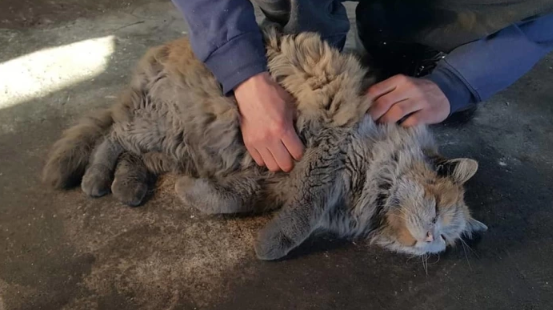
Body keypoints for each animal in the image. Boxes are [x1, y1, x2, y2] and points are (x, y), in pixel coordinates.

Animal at [42, 25, 488, 260]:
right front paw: (272, 246)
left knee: (135, 157)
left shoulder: (266, 183)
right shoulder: (327, 148)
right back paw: (95, 178)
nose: (430, 239)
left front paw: (191, 193)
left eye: (446, 238)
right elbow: (302, 214)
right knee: (112, 137)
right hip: (160, 123)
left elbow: (226, 200)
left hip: (174, 147)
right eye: (435, 210)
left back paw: (127, 185)